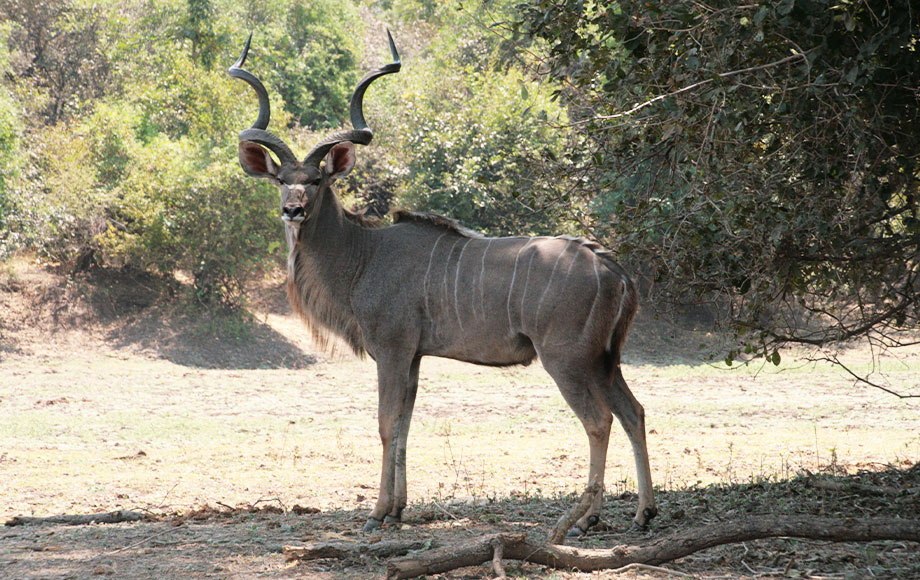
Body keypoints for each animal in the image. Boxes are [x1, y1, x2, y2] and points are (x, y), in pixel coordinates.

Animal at [234, 32, 656, 536]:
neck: (364, 255)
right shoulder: (414, 357)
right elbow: (405, 424)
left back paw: (581, 519)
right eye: (281, 179)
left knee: (599, 421)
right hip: (604, 361)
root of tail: (613, 268)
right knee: (634, 412)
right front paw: (397, 510)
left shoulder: (392, 350)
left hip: (568, 360)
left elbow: (386, 423)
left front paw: (376, 515)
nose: (292, 210)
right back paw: (643, 513)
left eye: (316, 180)